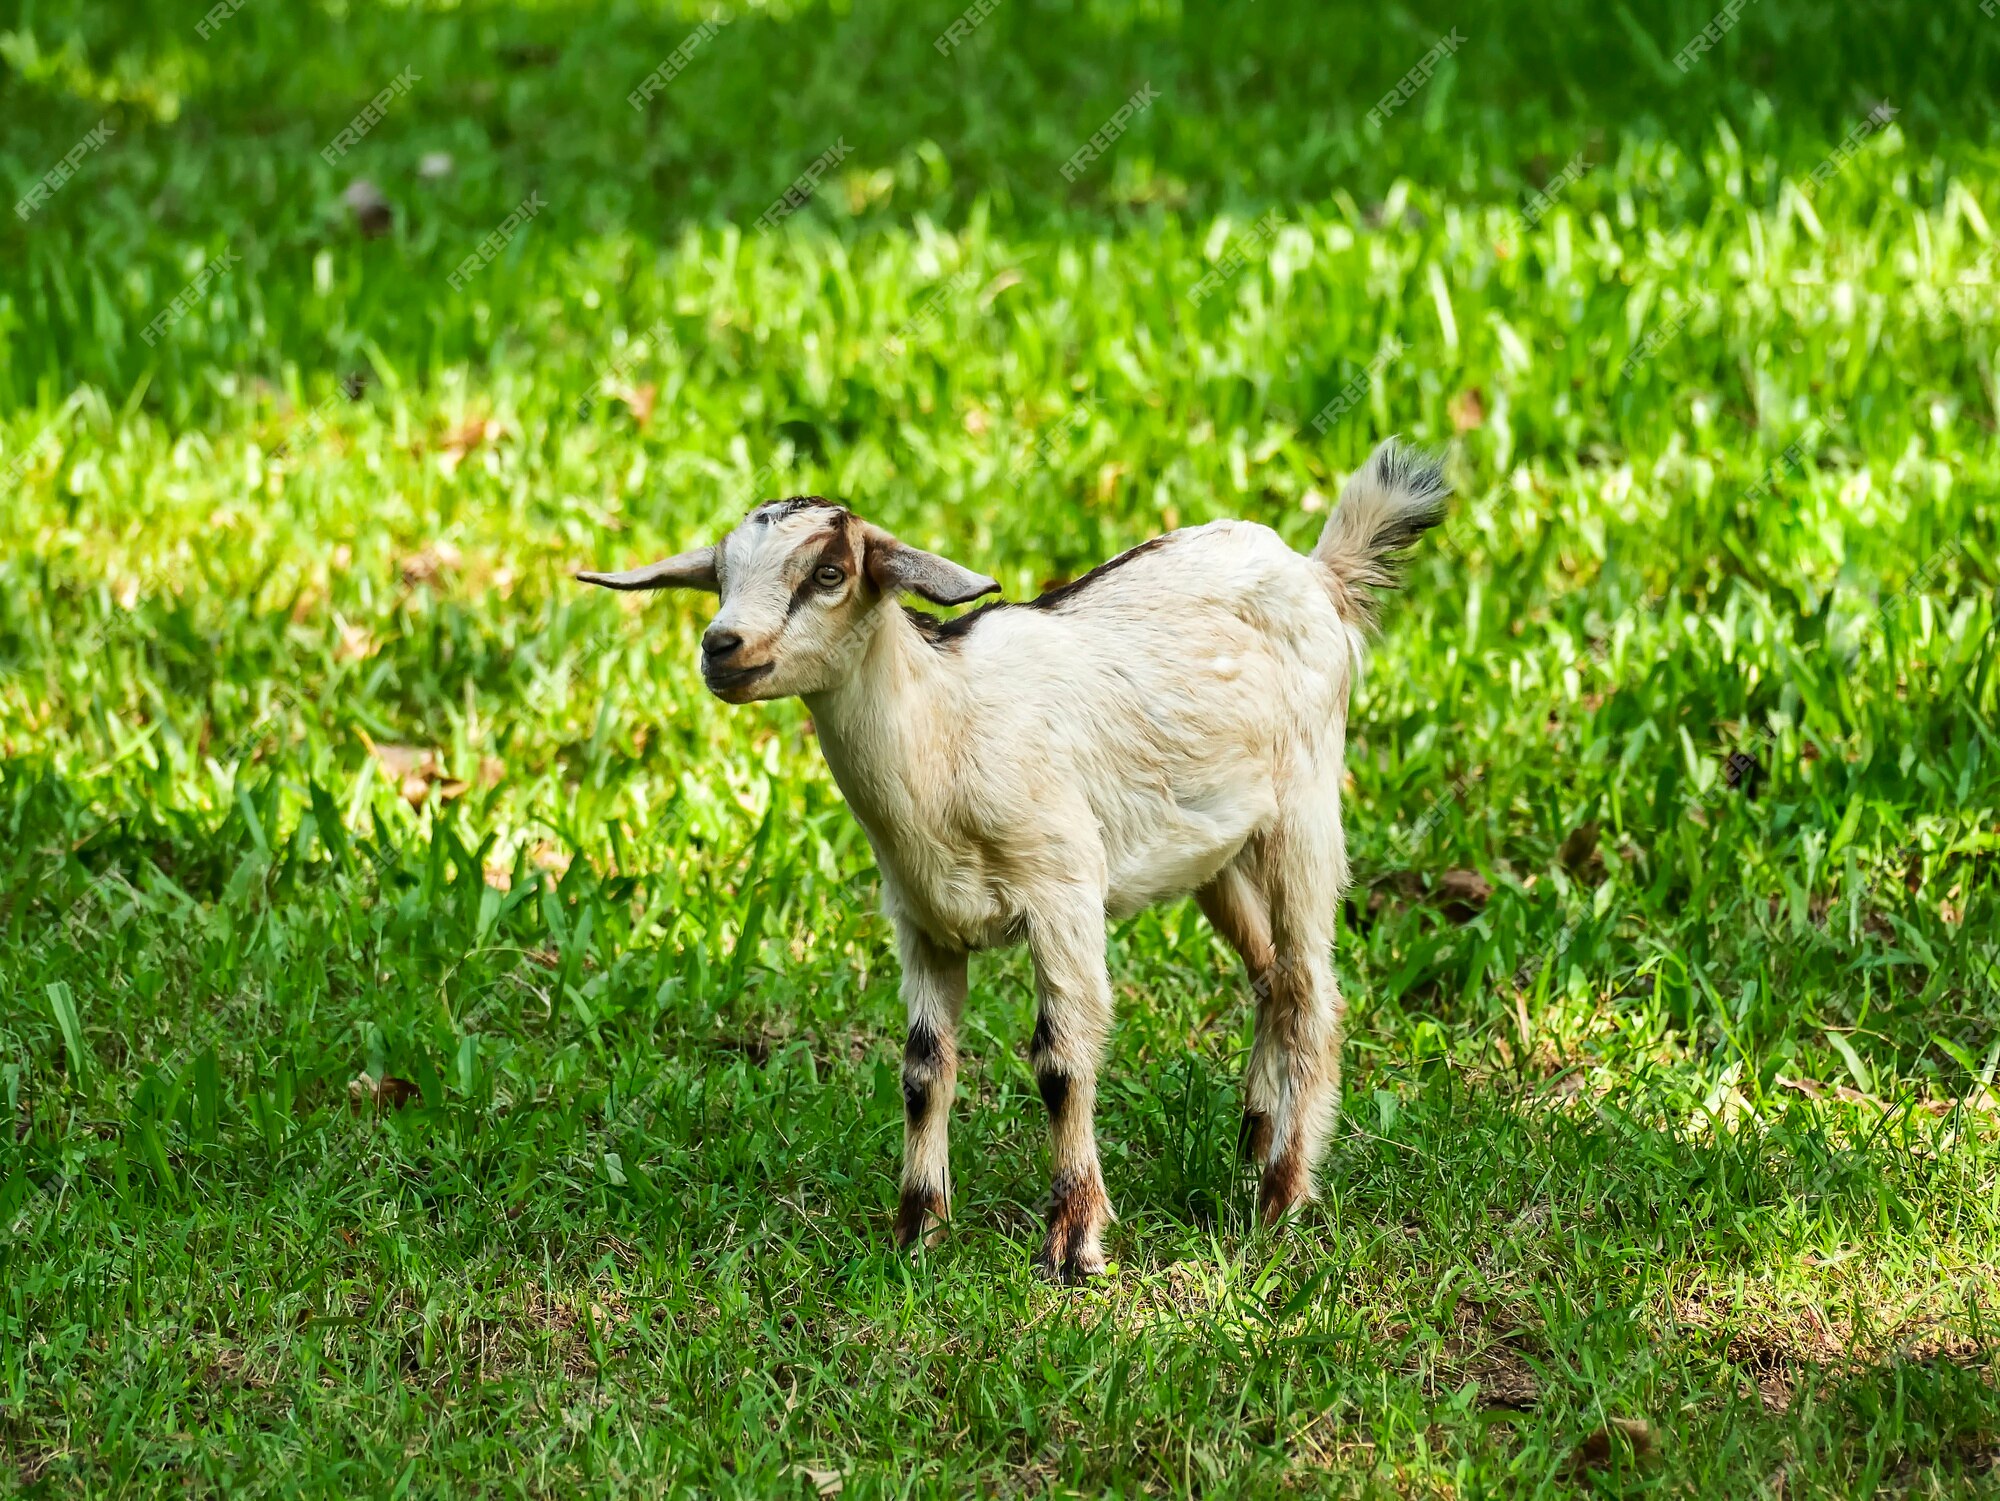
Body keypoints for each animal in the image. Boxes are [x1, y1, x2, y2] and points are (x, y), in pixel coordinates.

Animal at [572, 438, 1448, 1280]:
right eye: (720, 575)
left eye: (827, 573)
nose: (722, 647)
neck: (943, 729)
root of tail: (1316, 571)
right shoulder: (921, 919)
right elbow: (923, 1069)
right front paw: (917, 1231)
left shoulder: (1062, 892)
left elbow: (1061, 1062)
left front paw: (1075, 1242)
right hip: (1215, 849)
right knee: (1268, 973)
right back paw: (1254, 1137)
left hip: (1304, 809)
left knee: (1311, 988)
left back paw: (1282, 1193)